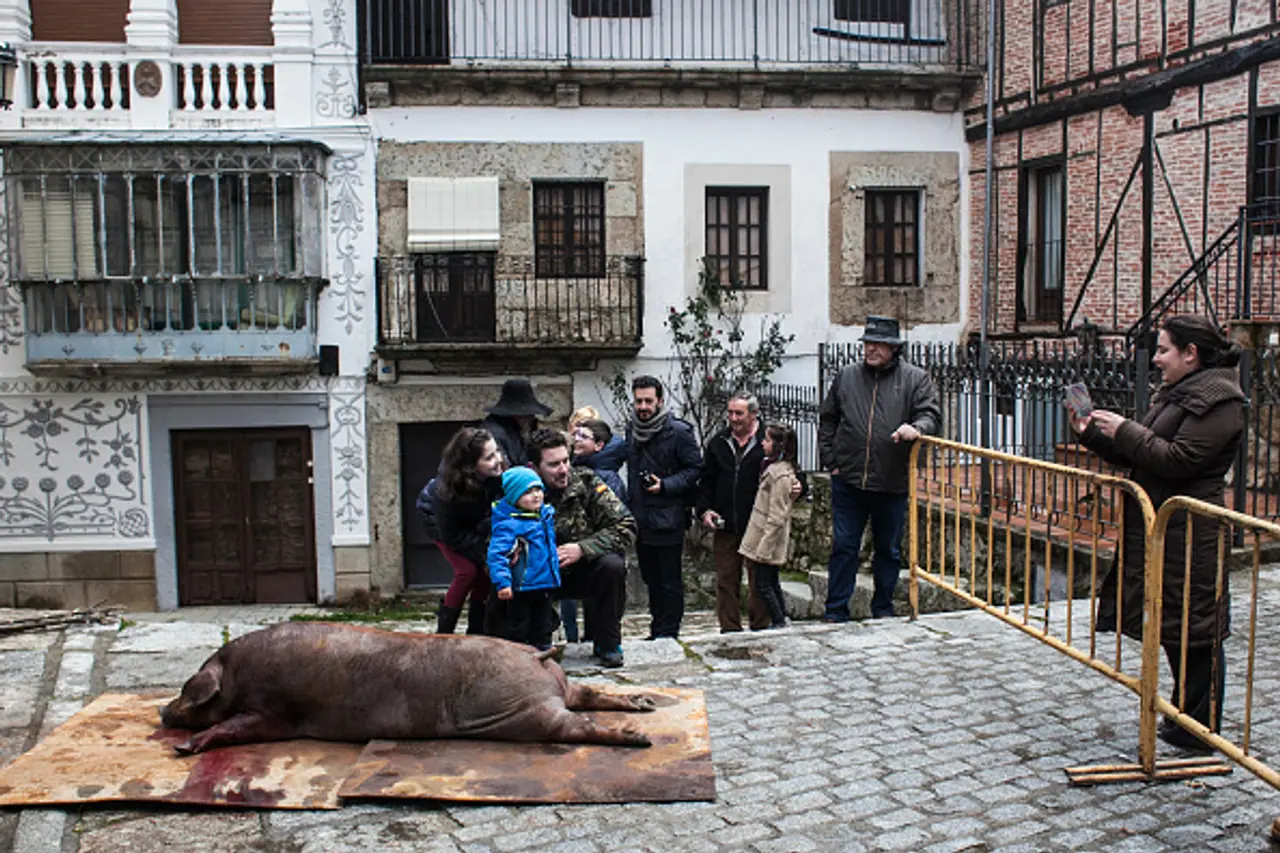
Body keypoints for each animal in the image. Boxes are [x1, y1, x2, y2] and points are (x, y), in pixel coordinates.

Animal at [160, 622, 655, 754]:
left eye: (187, 688)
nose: (163, 712)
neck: (235, 674)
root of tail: (539, 658)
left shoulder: (275, 711)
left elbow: (238, 726)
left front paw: (186, 748)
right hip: (552, 695)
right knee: (588, 697)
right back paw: (646, 704)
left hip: (526, 712)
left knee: (576, 724)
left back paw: (641, 738)